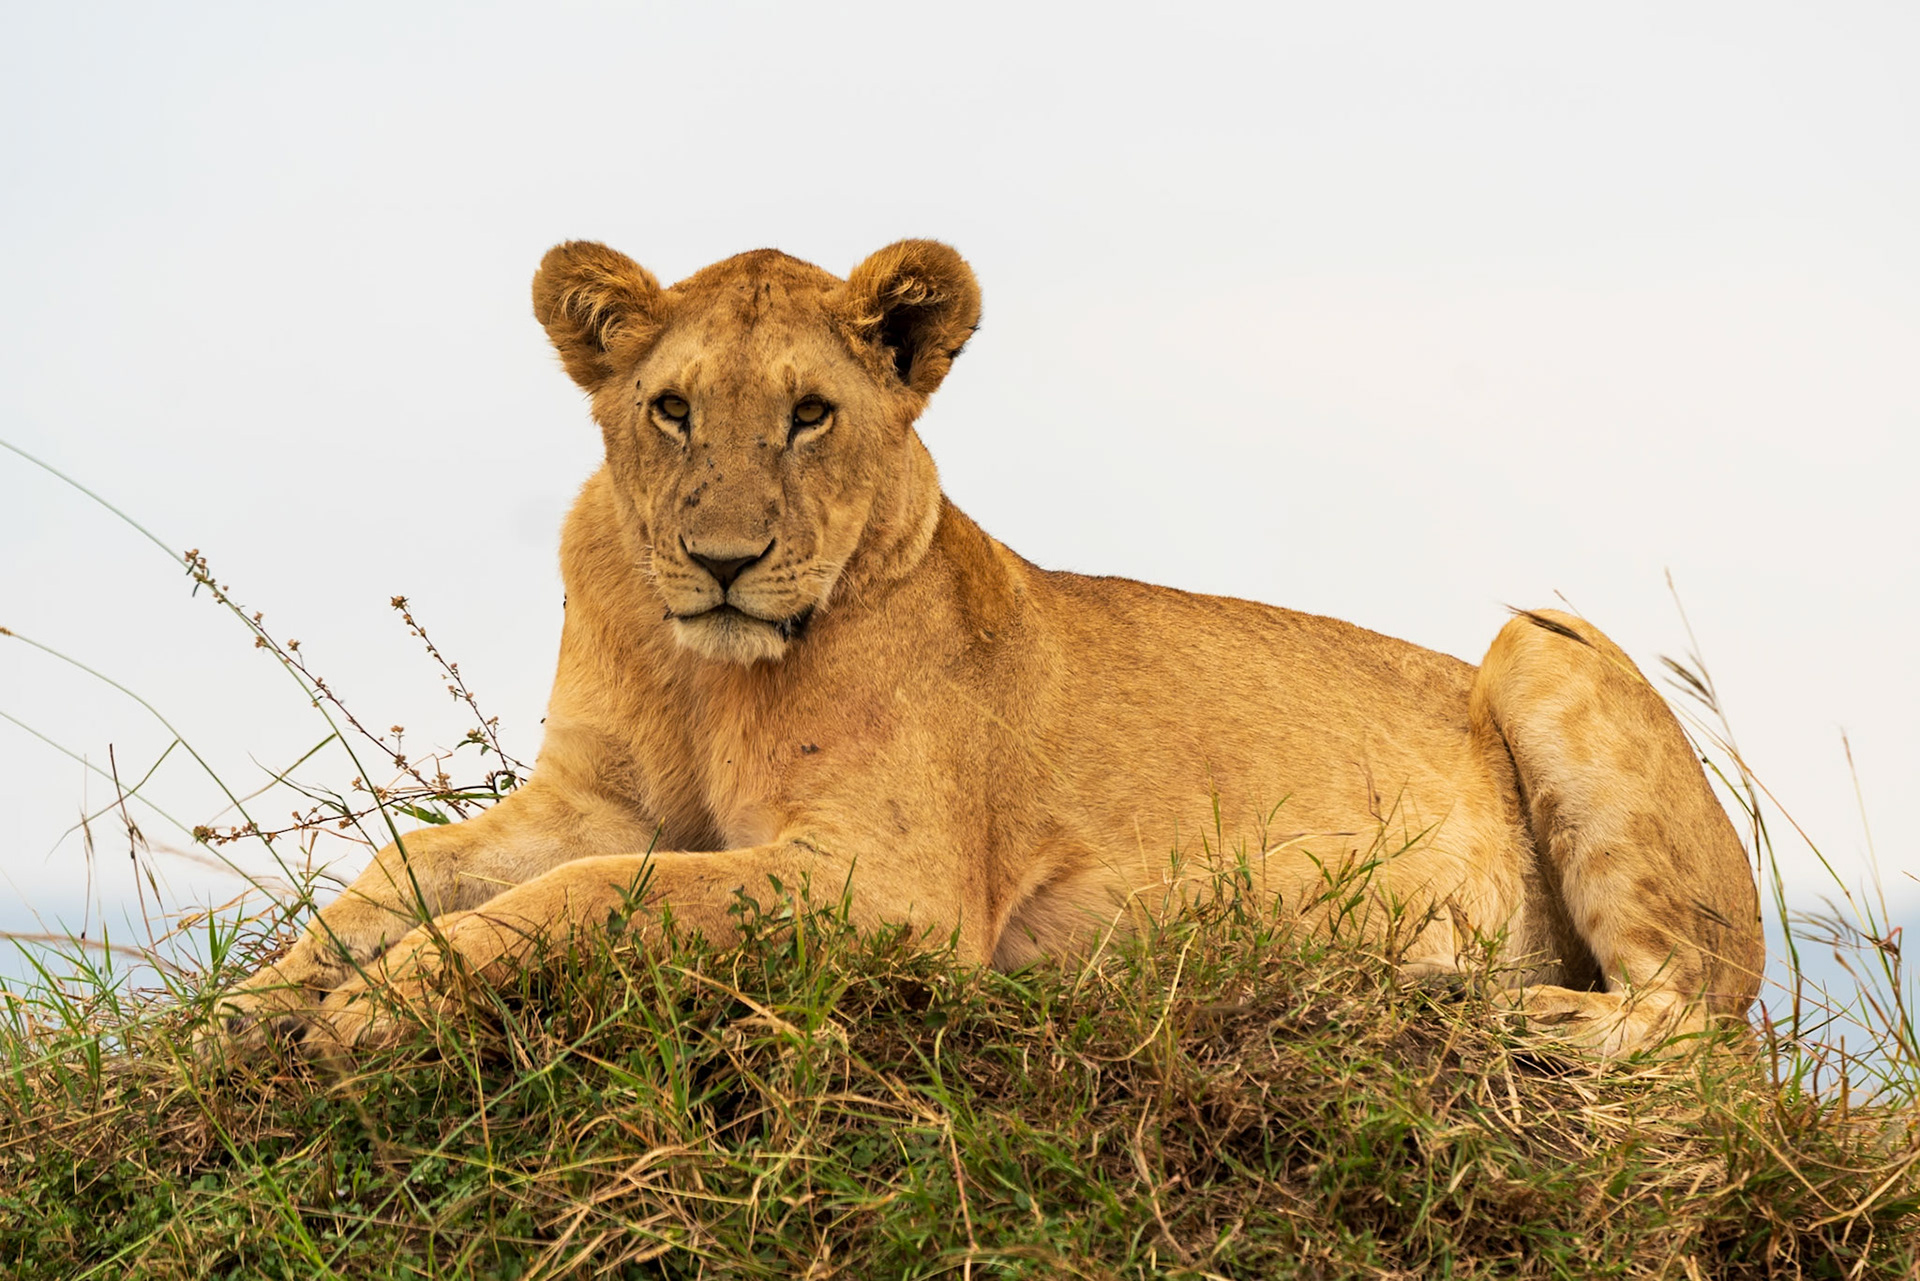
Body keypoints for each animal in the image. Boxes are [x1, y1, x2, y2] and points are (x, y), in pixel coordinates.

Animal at [204, 239, 1764, 1059]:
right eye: (670, 409)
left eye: (810, 414)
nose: (722, 558)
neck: (708, 674)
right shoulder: (594, 795)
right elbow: (408, 868)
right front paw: (243, 1012)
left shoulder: (890, 890)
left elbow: (603, 895)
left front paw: (377, 1006)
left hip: (1543, 641)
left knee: (1689, 1027)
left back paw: (1485, 1008)